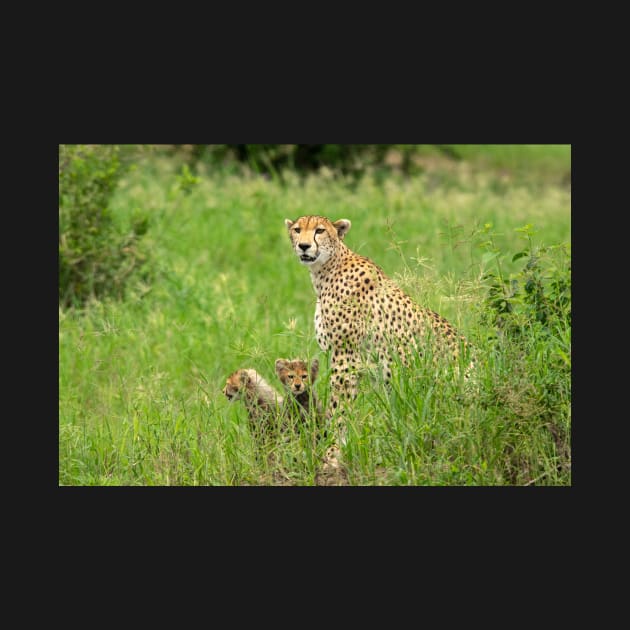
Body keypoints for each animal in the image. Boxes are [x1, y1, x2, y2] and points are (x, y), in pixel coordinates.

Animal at [286, 216, 474, 444]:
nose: (304, 246)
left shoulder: (345, 357)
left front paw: (334, 443)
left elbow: (338, 406)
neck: (326, 270)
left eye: (319, 231)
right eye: (297, 230)